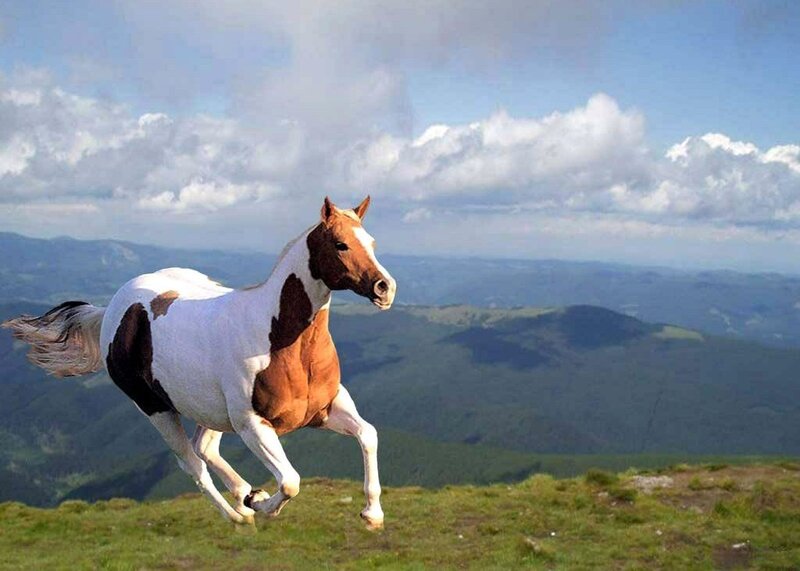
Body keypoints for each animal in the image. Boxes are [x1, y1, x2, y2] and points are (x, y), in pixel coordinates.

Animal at [2, 196, 396, 528]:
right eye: (341, 244)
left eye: (372, 242)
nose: (385, 288)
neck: (279, 339)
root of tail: (112, 308)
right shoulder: (253, 425)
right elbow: (290, 481)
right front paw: (261, 505)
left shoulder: (327, 407)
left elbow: (369, 435)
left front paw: (372, 514)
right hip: (157, 409)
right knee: (191, 462)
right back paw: (239, 515)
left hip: (210, 410)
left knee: (203, 448)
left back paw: (244, 494)